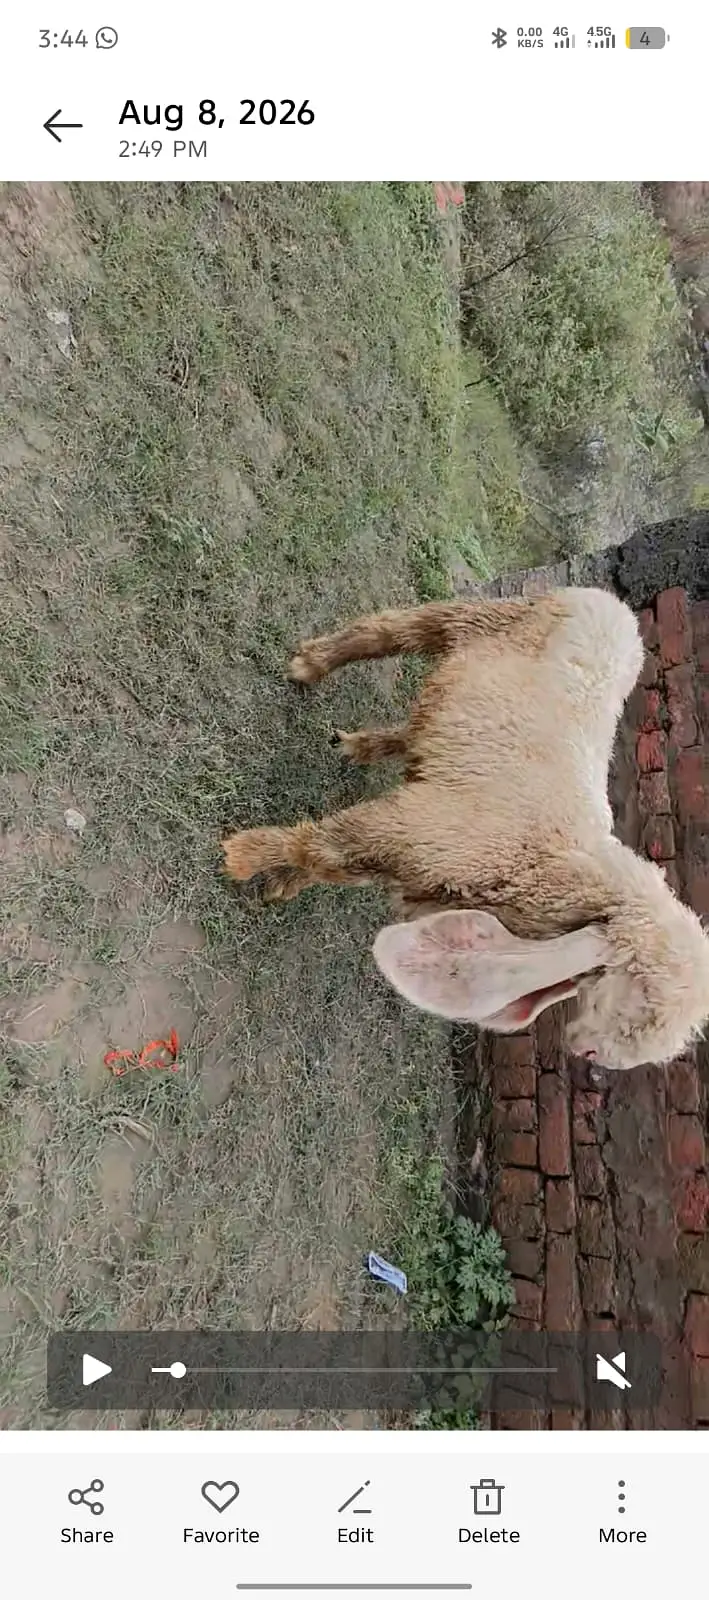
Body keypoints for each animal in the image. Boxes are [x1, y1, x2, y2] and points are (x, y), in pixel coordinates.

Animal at [222, 589, 709, 1071]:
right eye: (641, 996)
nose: (591, 1055)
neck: (549, 864)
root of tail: (622, 613)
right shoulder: (418, 827)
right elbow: (319, 845)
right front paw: (244, 858)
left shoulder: (416, 859)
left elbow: (333, 862)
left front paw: (282, 882)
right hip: (484, 619)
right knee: (393, 629)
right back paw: (312, 665)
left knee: (413, 726)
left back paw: (363, 745)